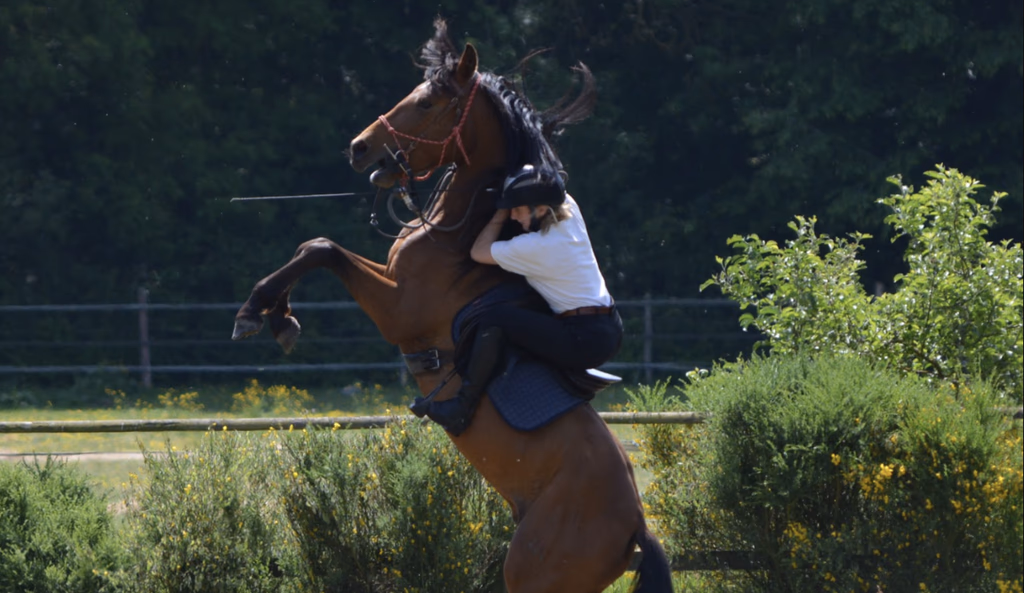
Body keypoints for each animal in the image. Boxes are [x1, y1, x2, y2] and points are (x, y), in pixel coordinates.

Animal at [232, 18, 673, 593]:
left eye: (425, 103)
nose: (358, 147)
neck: (456, 238)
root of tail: (637, 527)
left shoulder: (398, 308)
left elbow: (321, 249)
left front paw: (258, 311)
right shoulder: (391, 281)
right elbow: (317, 246)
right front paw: (277, 316)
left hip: (533, 571)